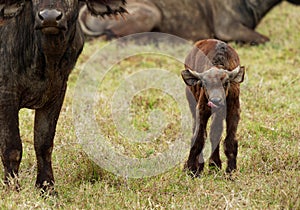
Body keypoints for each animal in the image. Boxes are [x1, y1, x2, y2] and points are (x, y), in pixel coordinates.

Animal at [0, 0, 126, 192]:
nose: (50, 17)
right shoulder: (6, 95)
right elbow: (12, 147)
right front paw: (12, 189)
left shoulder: (56, 93)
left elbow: (44, 143)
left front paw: (47, 187)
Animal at [182, 39, 245, 176]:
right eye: (204, 83)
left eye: (225, 82)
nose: (215, 100)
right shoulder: (202, 110)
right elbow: (198, 138)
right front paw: (191, 169)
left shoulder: (233, 110)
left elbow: (228, 139)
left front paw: (230, 170)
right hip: (192, 102)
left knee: (215, 132)